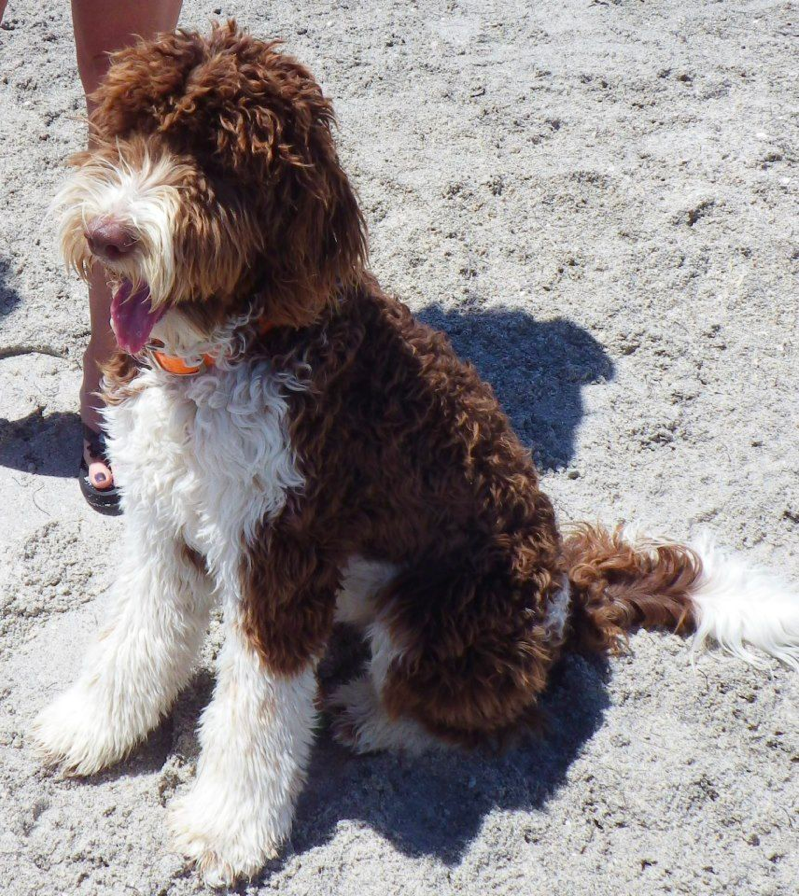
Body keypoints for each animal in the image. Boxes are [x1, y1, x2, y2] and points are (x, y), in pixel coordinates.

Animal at [32, 22, 792, 888]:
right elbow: (134, 635)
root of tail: (569, 593)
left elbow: (257, 706)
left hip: (445, 618)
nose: (108, 237)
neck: (217, 357)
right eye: (129, 133)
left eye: (218, 162)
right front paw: (90, 726)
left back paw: (368, 711)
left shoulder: (280, 554)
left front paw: (225, 827)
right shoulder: (163, 525)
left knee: (477, 711)